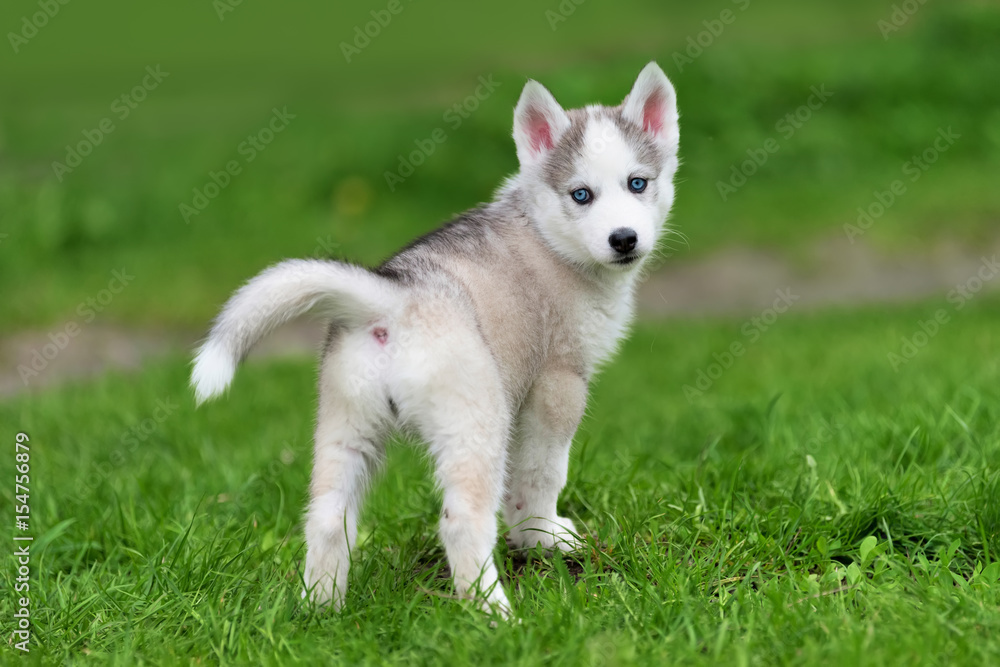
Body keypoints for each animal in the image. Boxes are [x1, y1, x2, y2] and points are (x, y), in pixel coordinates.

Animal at [193, 62, 680, 616]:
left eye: (638, 183)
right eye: (581, 195)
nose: (624, 239)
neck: (548, 236)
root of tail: (391, 298)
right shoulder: (557, 384)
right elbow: (541, 473)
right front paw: (543, 538)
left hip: (346, 425)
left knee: (327, 519)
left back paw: (321, 610)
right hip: (476, 421)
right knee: (461, 522)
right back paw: (495, 613)